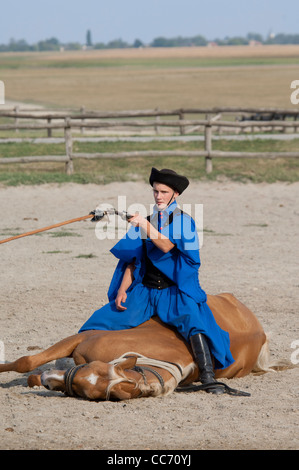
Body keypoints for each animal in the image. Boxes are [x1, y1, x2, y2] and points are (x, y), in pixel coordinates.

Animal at [0, 294, 278, 400]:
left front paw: (37, 379)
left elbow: (30, 369)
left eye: (83, 389)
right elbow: (26, 362)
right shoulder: (79, 339)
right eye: (91, 367)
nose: (48, 379)